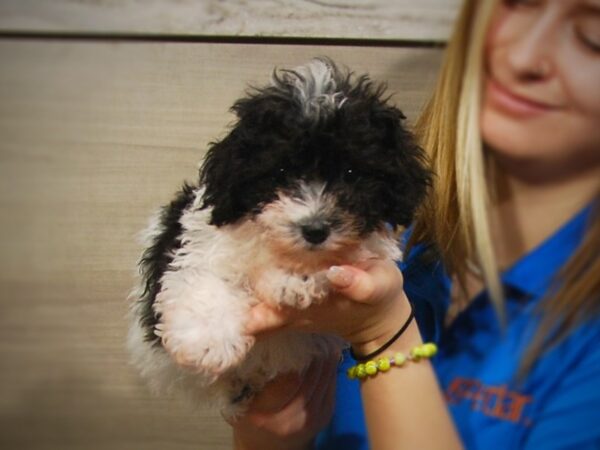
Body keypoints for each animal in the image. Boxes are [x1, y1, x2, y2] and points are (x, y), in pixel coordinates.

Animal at [126, 57, 432, 418]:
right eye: (281, 172)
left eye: (351, 174)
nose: (314, 229)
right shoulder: (200, 243)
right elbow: (206, 279)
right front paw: (207, 339)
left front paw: (295, 280)